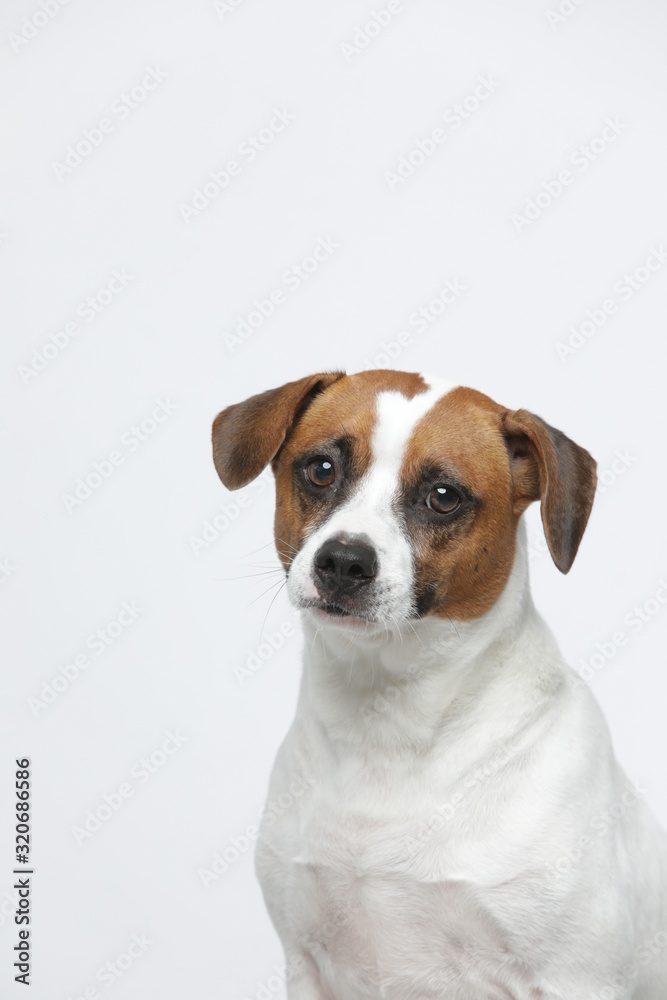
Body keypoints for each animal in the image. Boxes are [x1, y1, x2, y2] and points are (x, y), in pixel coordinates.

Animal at [213, 372, 667, 1000]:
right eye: (321, 468)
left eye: (444, 495)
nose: (344, 561)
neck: (389, 722)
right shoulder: (307, 963)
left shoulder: (577, 978)